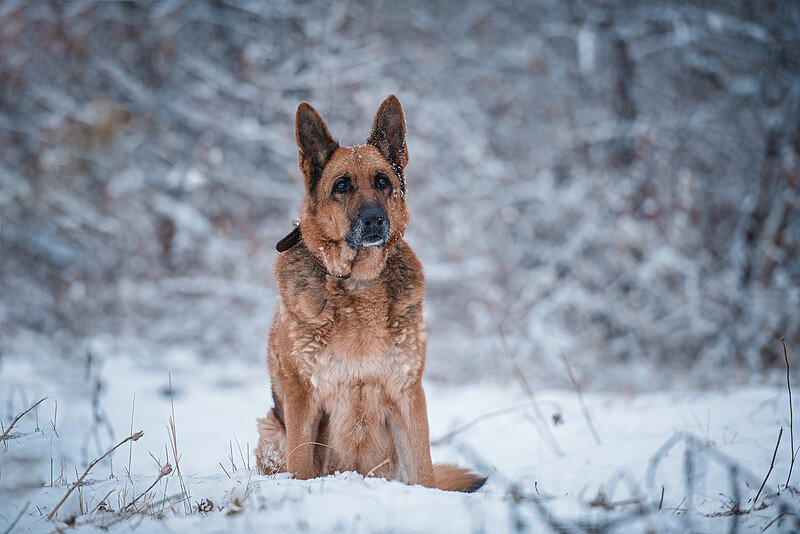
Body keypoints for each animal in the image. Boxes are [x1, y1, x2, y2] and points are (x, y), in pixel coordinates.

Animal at [255, 96, 488, 494]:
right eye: (341, 186)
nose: (375, 220)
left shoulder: (408, 393)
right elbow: (301, 466)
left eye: (383, 182)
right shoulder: (303, 397)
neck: (357, 286)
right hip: (271, 430)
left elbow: (424, 471)